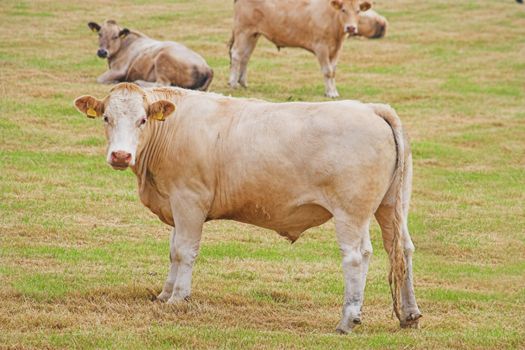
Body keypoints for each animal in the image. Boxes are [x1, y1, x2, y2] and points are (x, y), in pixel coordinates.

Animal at [72, 82, 422, 334]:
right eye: (107, 118)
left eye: (142, 120)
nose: (120, 155)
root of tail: (371, 108)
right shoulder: (175, 203)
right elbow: (173, 251)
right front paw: (164, 294)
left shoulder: (189, 201)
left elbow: (184, 251)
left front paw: (177, 299)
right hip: (392, 205)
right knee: (401, 249)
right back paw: (409, 314)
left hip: (351, 212)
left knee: (356, 256)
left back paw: (348, 319)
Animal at [228, 0, 384, 98]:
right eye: (343, 10)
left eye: (358, 11)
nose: (351, 28)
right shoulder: (321, 47)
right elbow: (327, 71)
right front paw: (331, 93)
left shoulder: (337, 49)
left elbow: (333, 71)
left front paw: (332, 91)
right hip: (243, 30)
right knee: (236, 54)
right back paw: (233, 83)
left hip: (253, 34)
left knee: (245, 56)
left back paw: (243, 82)